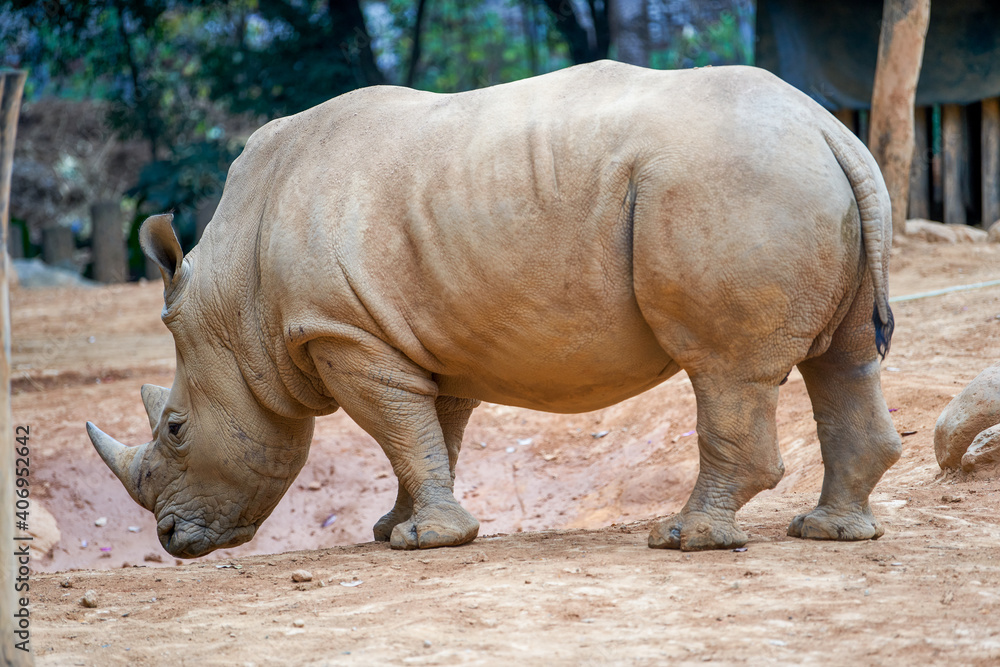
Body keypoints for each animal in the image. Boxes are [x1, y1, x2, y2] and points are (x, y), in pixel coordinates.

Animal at [87, 61, 901, 558]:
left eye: (175, 428)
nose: (170, 538)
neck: (236, 301)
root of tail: (827, 127)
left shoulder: (343, 333)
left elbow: (400, 428)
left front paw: (424, 540)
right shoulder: (415, 334)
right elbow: (430, 432)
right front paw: (399, 528)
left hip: (732, 182)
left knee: (725, 369)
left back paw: (685, 539)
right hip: (798, 177)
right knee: (844, 360)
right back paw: (829, 532)